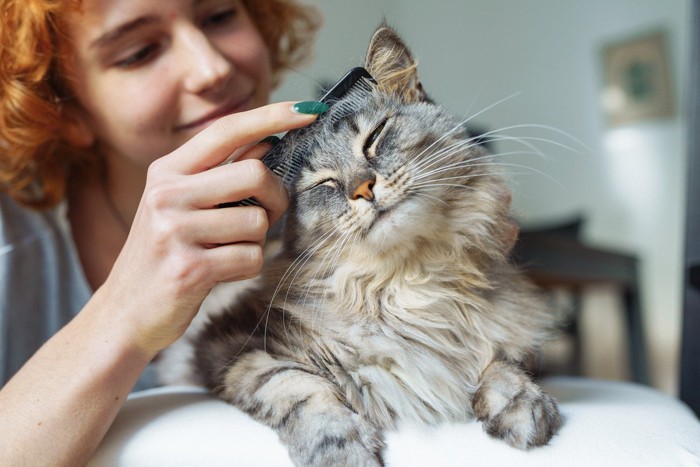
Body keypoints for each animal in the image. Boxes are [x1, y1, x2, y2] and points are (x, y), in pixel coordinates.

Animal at [191, 25, 564, 467]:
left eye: (375, 137)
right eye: (324, 184)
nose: (362, 188)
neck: (411, 283)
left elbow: (499, 360)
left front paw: (521, 403)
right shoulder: (230, 347)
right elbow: (296, 387)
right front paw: (339, 447)